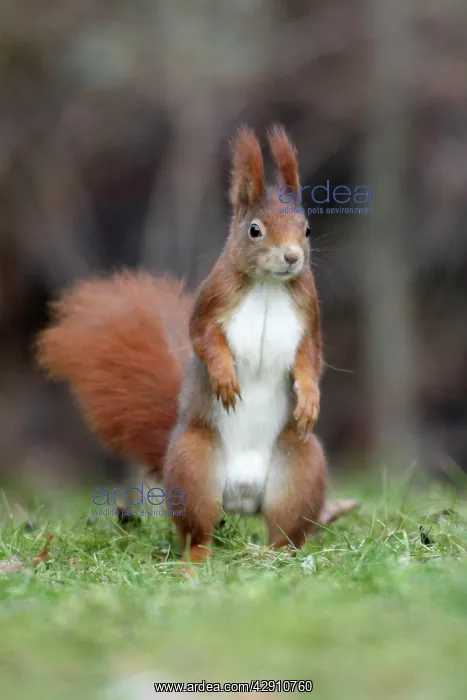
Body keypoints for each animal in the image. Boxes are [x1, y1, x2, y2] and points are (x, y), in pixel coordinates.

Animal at [37, 124, 356, 563]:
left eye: (306, 229)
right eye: (255, 230)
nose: (292, 257)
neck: (268, 285)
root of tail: (242, 496)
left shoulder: (308, 314)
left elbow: (311, 358)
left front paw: (309, 399)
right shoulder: (211, 303)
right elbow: (204, 339)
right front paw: (223, 378)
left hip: (301, 467)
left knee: (284, 527)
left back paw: (279, 556)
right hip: (195, 466)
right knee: (197, 530)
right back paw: (196, 561)